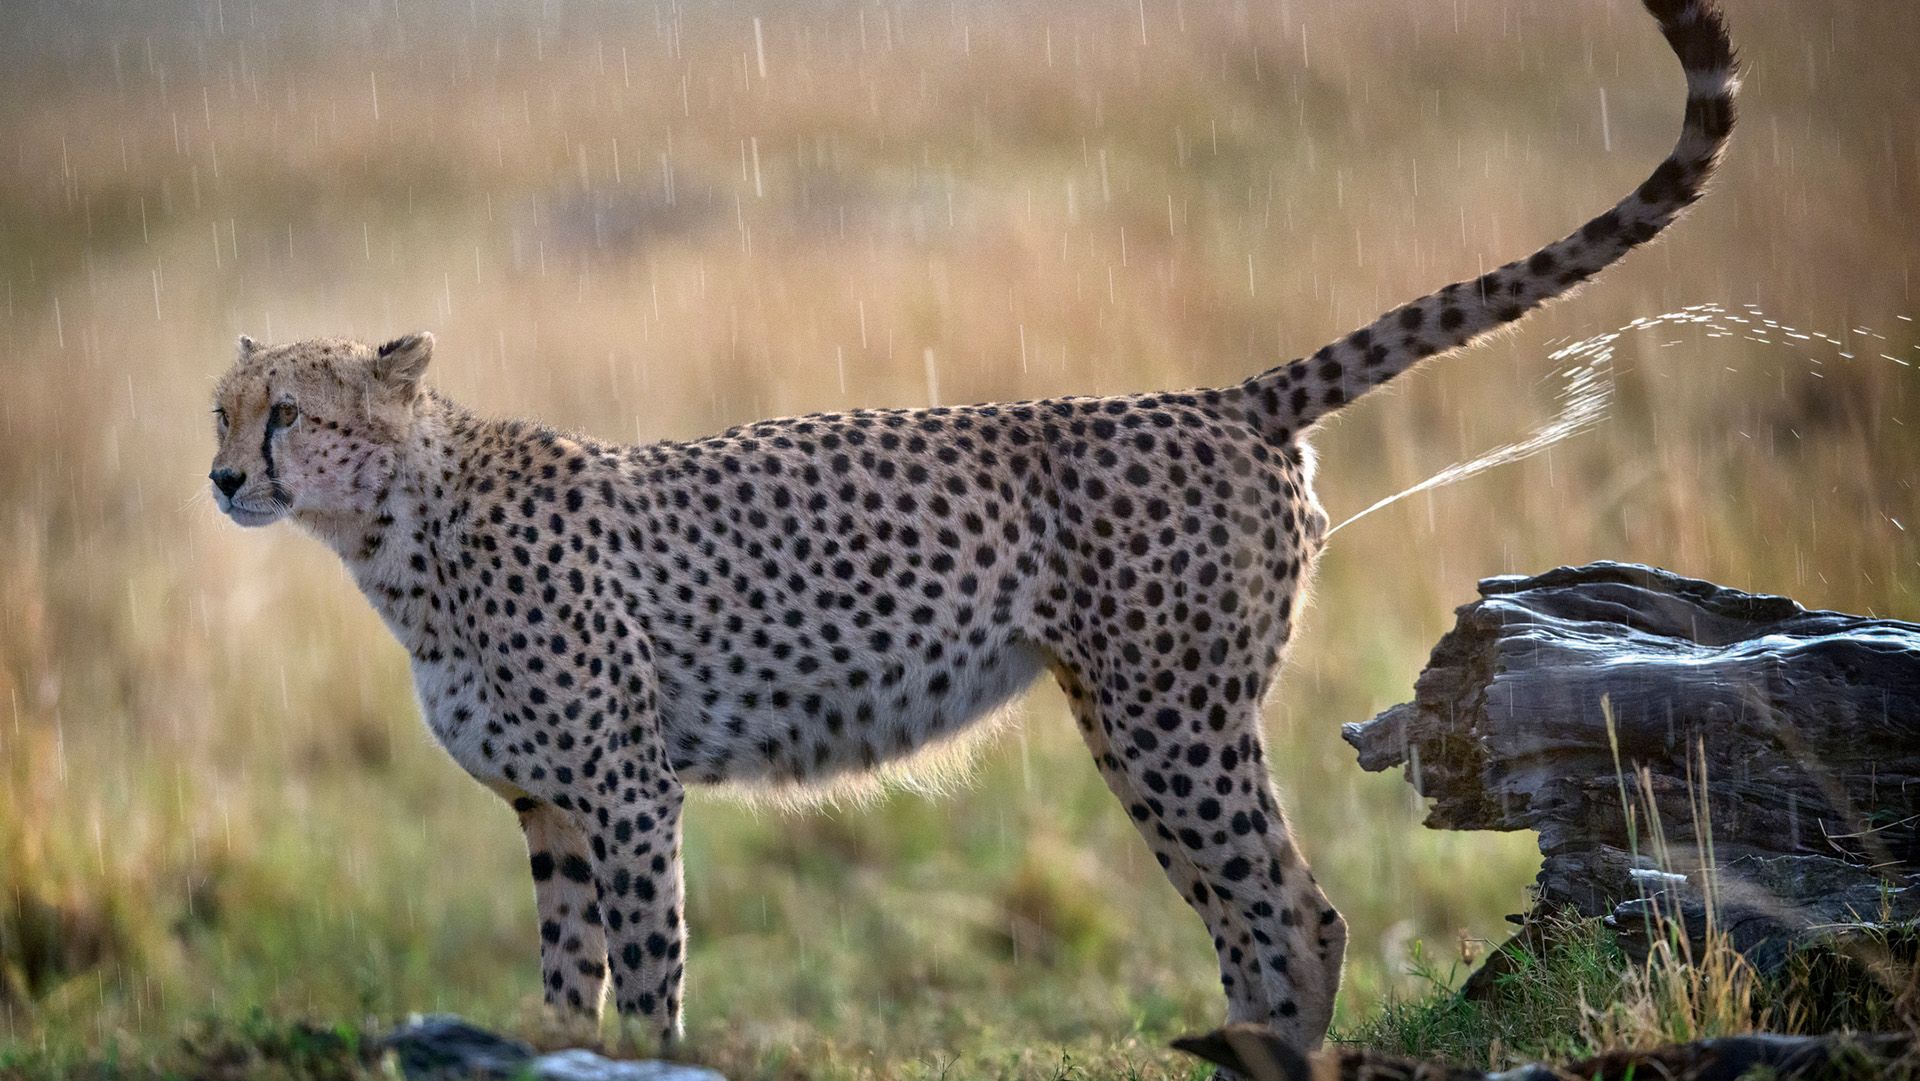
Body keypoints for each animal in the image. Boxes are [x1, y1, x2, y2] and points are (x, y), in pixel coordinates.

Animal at [207, 0, 1734, 1054]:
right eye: (219, 411)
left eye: (286, 413)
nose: (223, 482)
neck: (395, 536)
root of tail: (1218, 392)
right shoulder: (550, 808)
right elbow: (560, 983)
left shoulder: (627, 791)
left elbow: (645, 978)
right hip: (1142, 714)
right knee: (1248, 911)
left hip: (1164, 711)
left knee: (1295, 909)